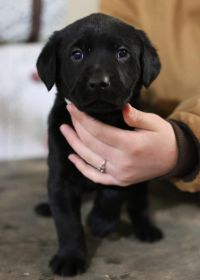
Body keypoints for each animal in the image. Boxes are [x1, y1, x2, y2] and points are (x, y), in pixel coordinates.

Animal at [36, 13, 163, 276]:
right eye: (76, 54)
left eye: (122, 53)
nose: (98, 82)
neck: (101, 119)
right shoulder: (60, 179)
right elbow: (67, 223)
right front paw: (70, 258)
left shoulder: (129, 160)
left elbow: (113, 191)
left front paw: (100, 222)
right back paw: (46, 207)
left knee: (139, 204)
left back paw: (145, 228)